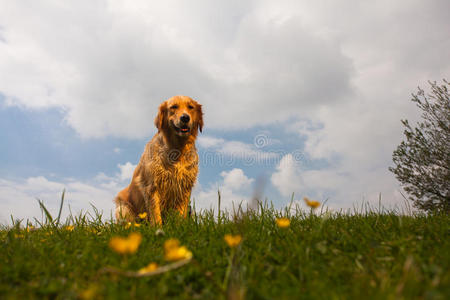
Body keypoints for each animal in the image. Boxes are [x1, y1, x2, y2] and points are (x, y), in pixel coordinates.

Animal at [115, 95, 203, 224]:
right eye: (173, 107)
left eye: (190, 107)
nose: (185, 118)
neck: (177, 149)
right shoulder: (152, 188)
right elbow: (156, 215)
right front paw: (158, 227)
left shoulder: (184, 188)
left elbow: (180, 215)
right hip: (123, 208)